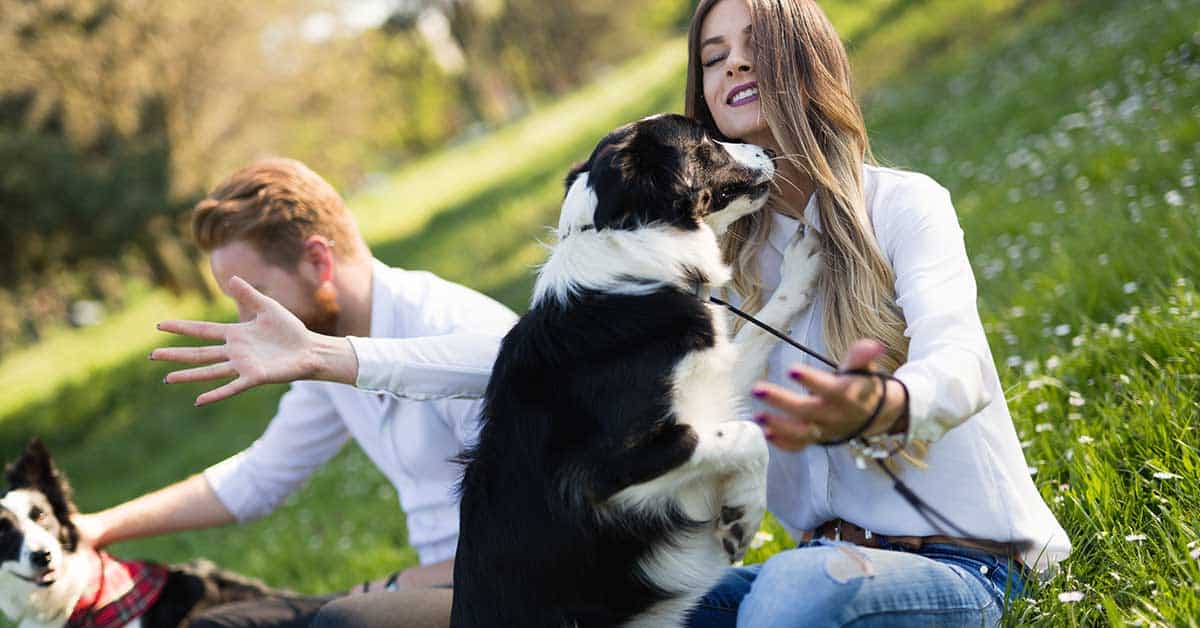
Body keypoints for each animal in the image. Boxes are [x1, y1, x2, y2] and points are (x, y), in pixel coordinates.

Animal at [451, 114, 816, 628]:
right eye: (704, 141)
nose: (767, 151)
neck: (634, 247)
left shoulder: (710, 379)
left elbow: (761, 332)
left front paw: (801, 267)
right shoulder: (601, 471)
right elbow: (746, 435)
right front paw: (743, 516)